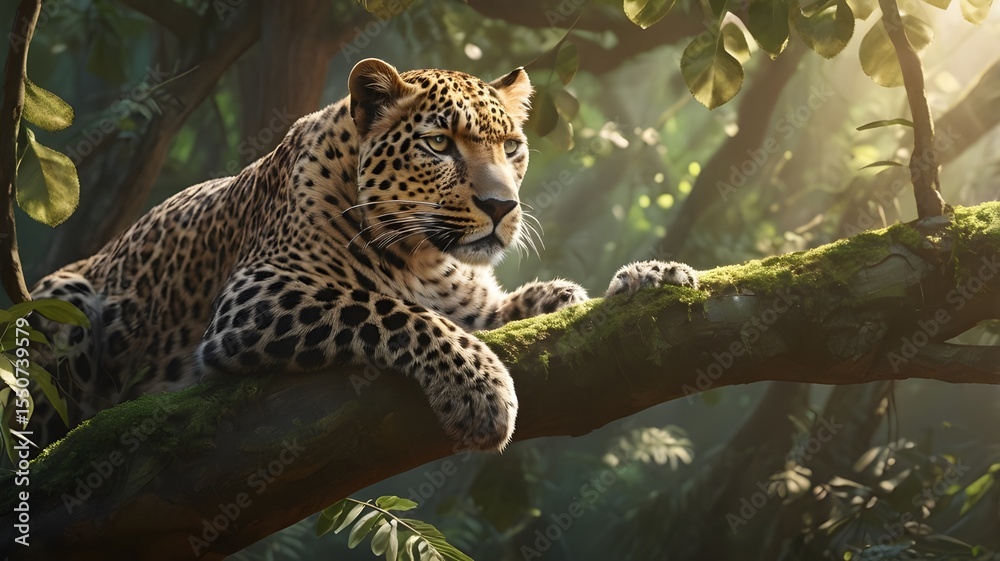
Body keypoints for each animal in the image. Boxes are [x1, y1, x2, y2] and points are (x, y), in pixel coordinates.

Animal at [29, 58, 699, 452]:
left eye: (512, 147)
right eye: (439, 144)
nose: (501, 206)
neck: (426, 257)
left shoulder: (476, 305)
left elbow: (531, 306)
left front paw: (648, 278)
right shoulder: (257, 293)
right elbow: (389, 309)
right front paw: (480, 388)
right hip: (65, 304)